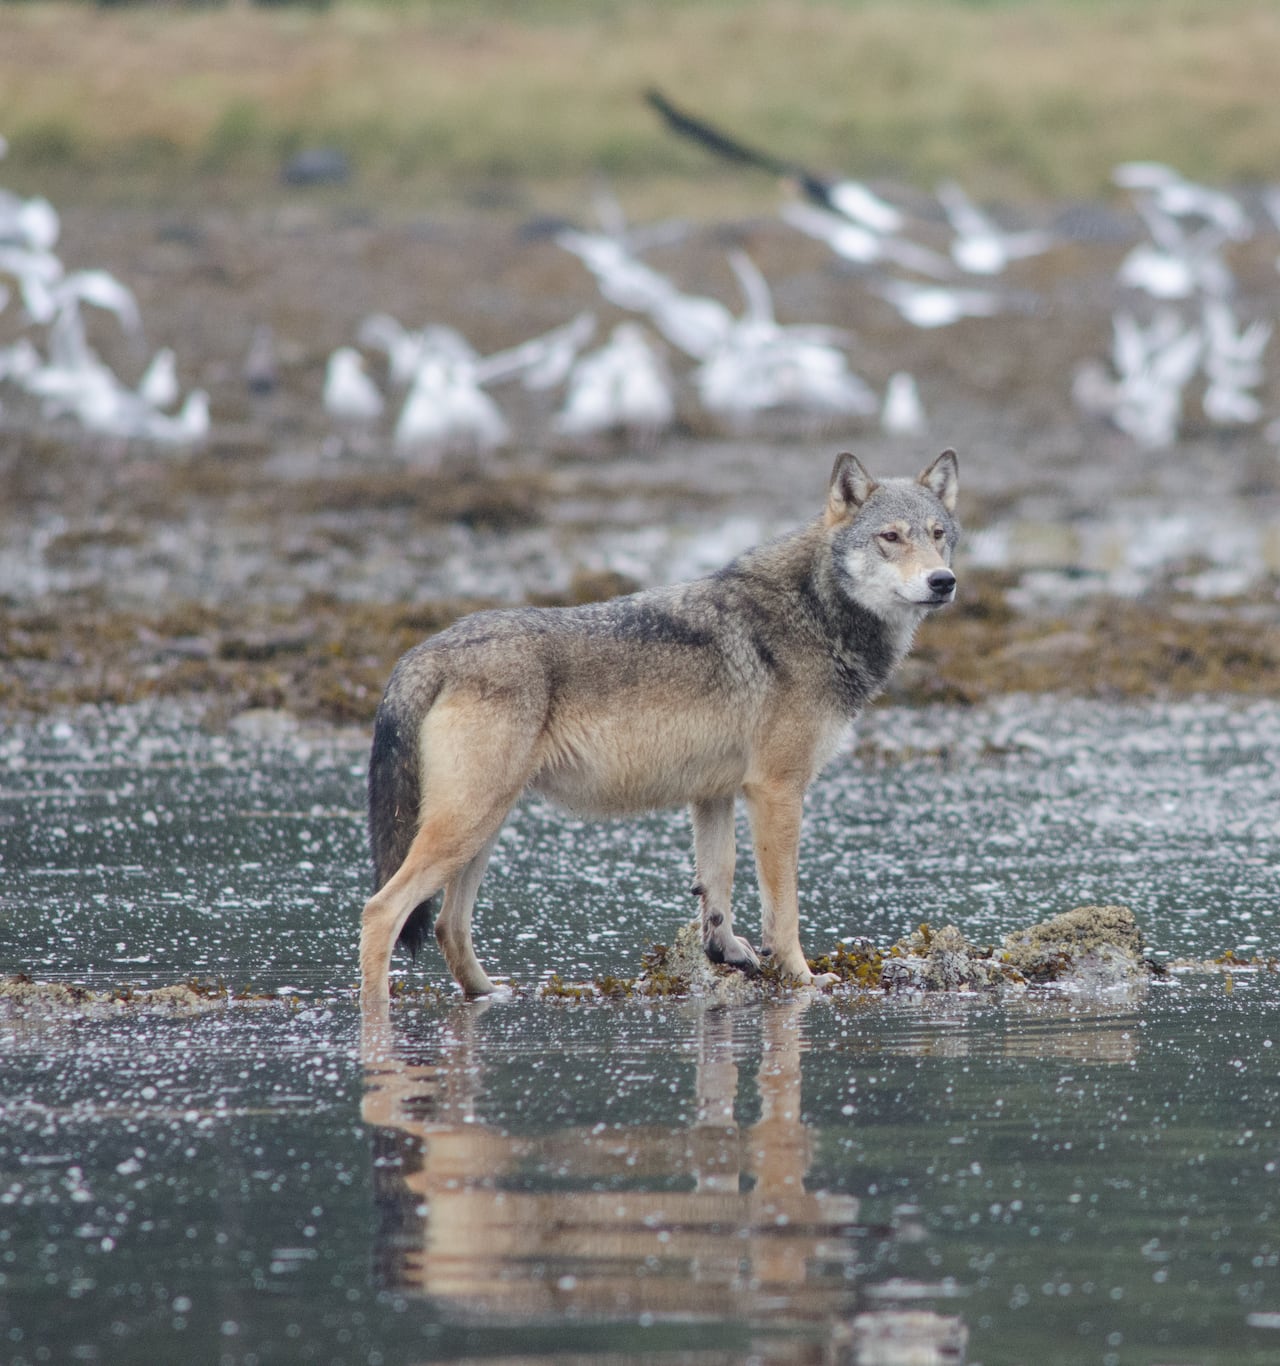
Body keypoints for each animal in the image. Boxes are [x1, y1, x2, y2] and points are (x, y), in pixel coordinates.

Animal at [360, 449, 959, 1009]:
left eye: (938, 536)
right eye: (890, 537)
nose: (943, 581)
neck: (816, 610)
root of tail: (426, 651)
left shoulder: (715, 794)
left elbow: (718, 882)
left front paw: (726, 951)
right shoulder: (777, 791)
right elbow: (783, 906)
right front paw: (802, 978)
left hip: (482, 829)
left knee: (448, 925)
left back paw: (493, 995)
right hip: (467, 825)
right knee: (380, 911)